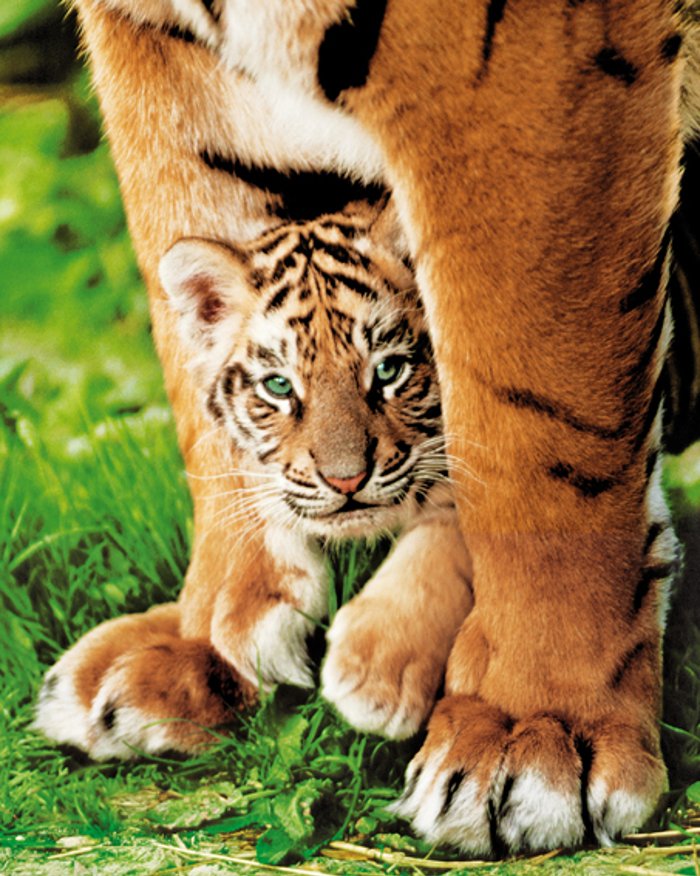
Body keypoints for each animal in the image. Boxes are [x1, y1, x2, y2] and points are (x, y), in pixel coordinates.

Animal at [34, 0, 698, 858]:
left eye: (387, 371)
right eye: (278, 387)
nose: (343, 478)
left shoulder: (527, 66)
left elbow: (529, 440)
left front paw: (529, 732)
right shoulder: (150, 38)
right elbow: (183, 309)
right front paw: (208, 636)